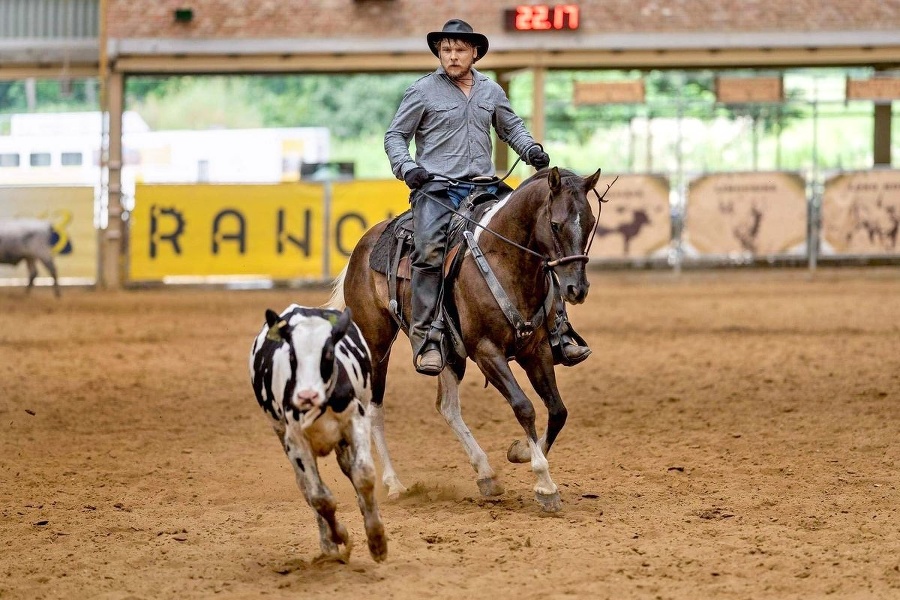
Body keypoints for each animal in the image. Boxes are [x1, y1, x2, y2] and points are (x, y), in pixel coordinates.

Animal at [248, 304, 384, 564]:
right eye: (292, 356)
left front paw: (377, 540)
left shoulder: (356, 420)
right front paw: (337, 538)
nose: (306, 396)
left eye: (329, 353)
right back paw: (328, 543)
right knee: (306, 488)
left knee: (349, 468)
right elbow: (320, 497)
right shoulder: (295, 442)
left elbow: (363, 475)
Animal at [326, 168, 600, 510]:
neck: (505, 260)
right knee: (374, 409)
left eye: (589, 222)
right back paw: (393, 484)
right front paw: (545, 484)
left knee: (447, 407)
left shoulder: (536, 351)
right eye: (555, 224)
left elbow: (557, 410)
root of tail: (361, 248)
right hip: (376, 344)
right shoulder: (486, 352)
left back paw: (486, 474)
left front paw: (522, 451)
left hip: (448, 353)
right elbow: (524, 406)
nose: (577, 288)